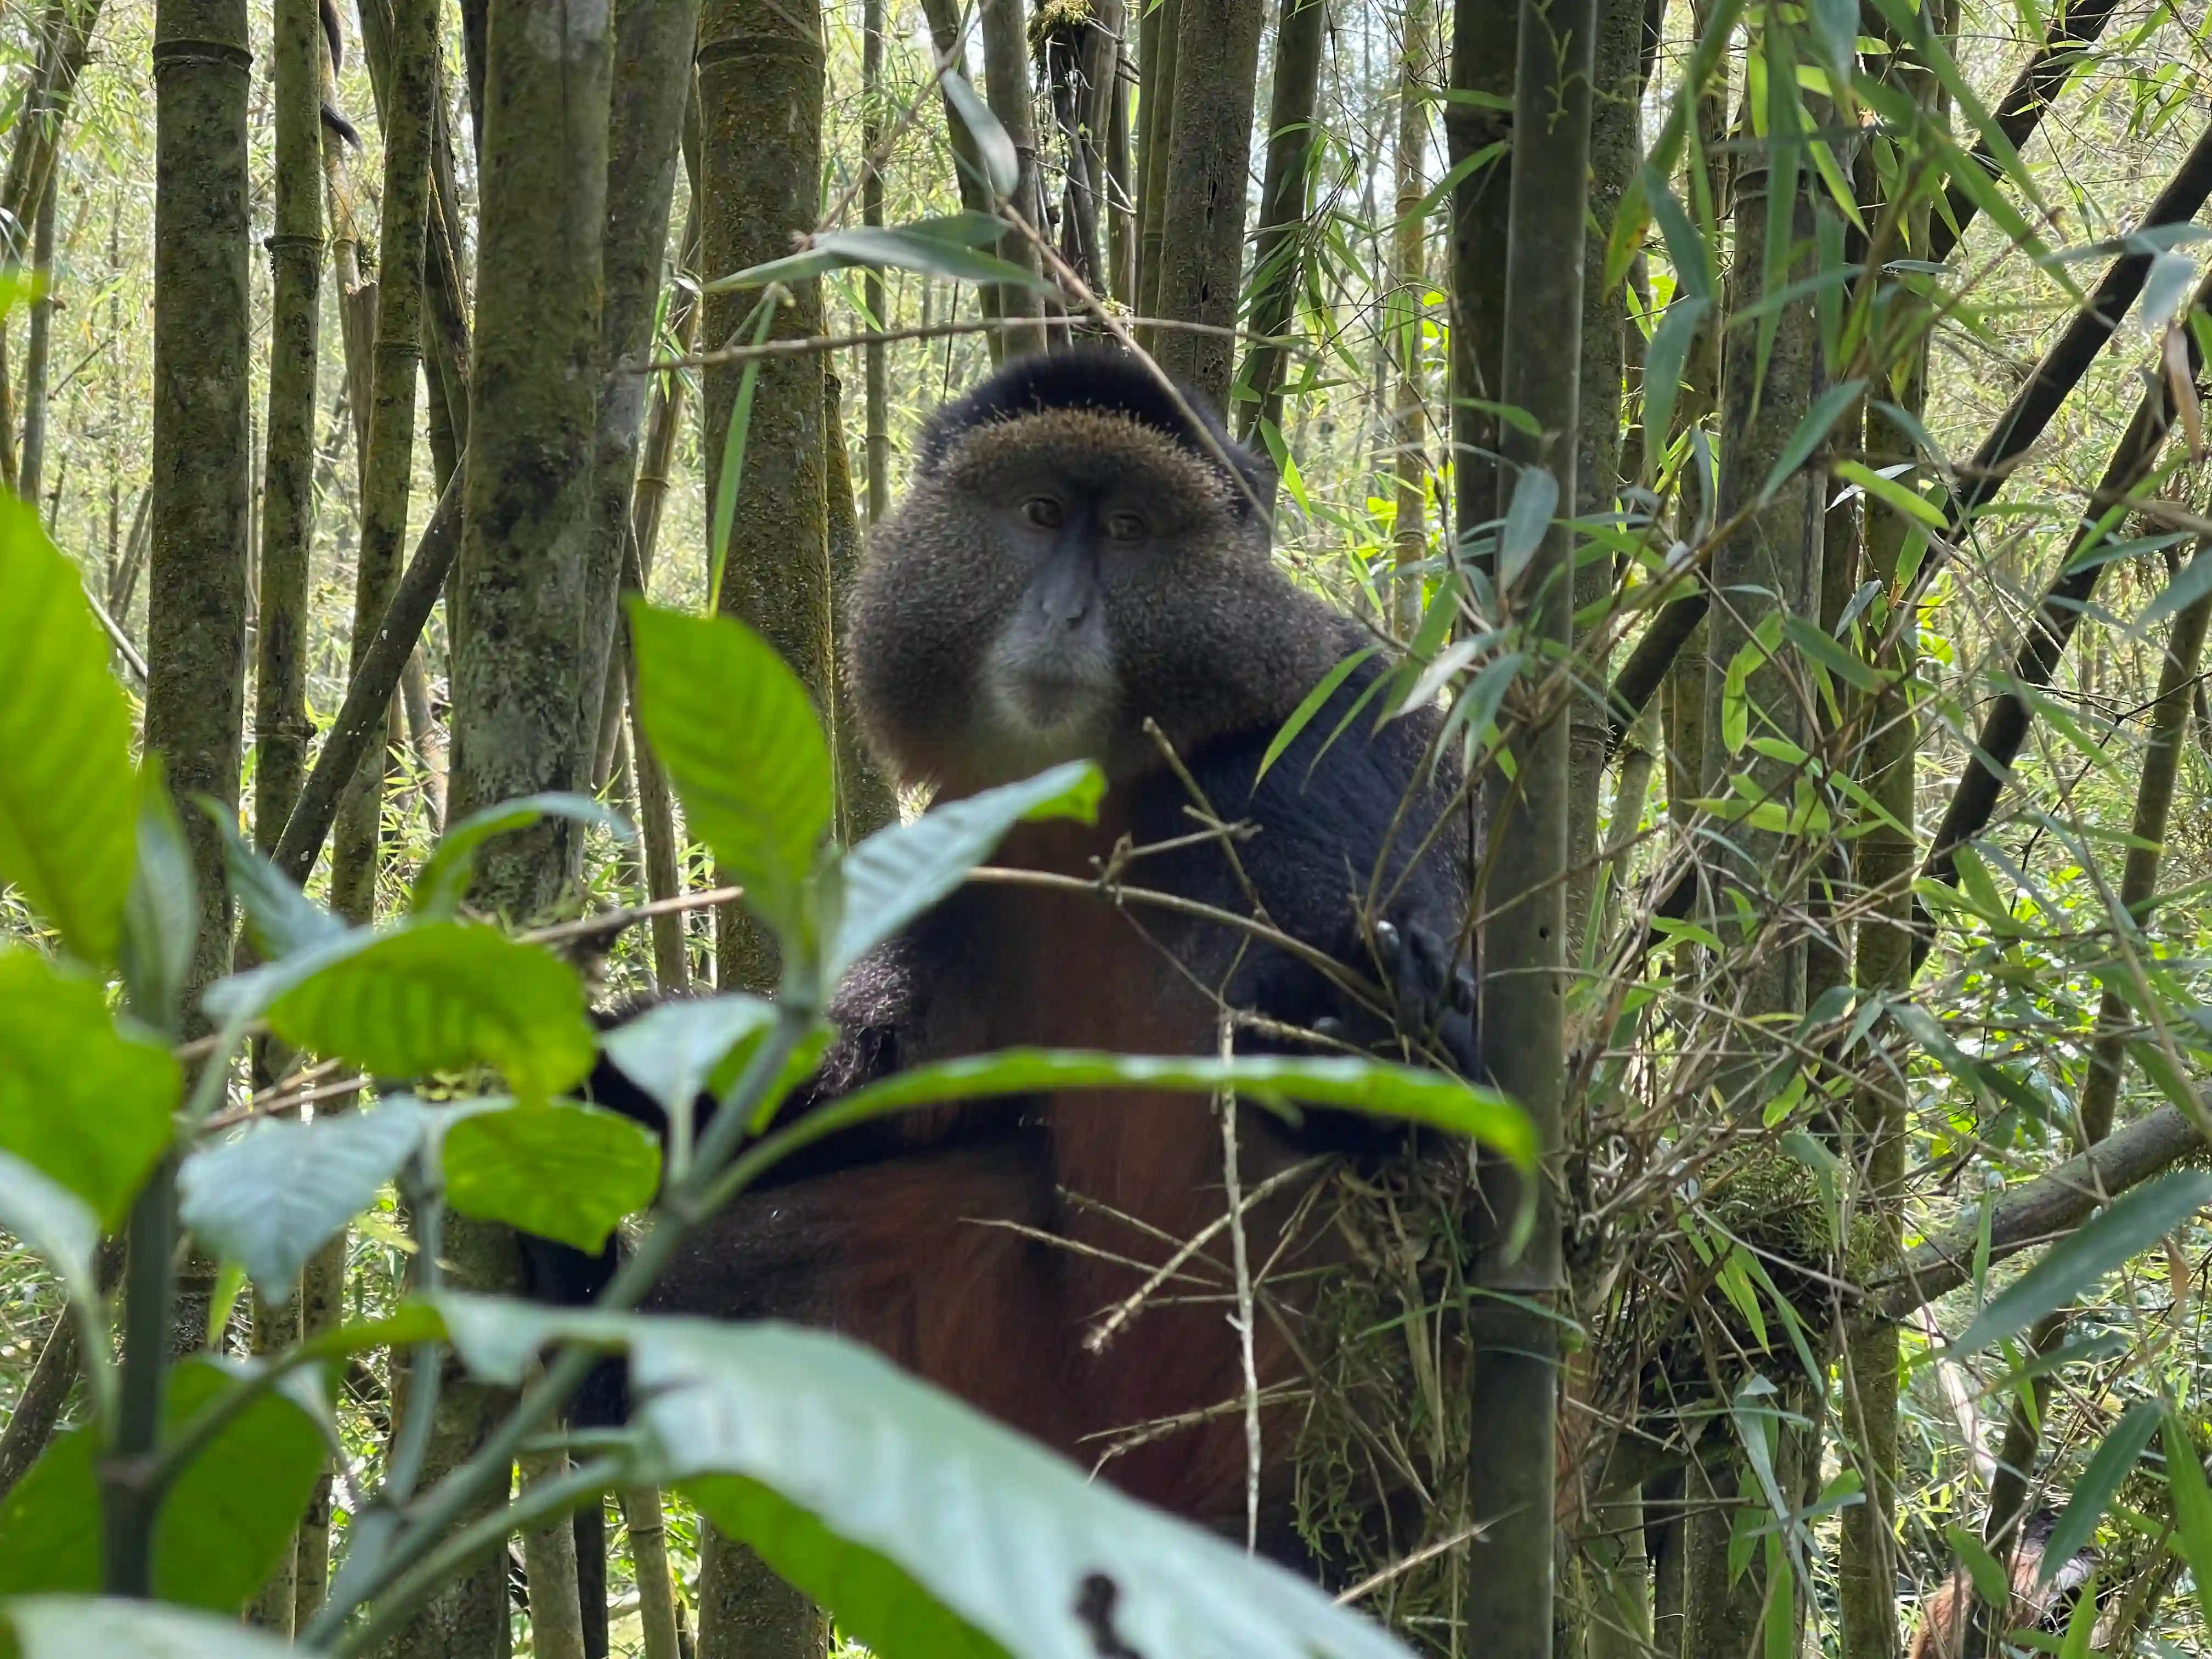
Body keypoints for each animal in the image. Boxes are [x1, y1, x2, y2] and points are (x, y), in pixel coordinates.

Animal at [525, 348, 1481, 1559]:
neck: (1103, 794)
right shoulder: (968, 846)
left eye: (1126, 528)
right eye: (1038, 514)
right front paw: (599, 1067)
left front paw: (1384, 1032)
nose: (1064, 609)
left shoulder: (1334, 733)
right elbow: (876, 1081)